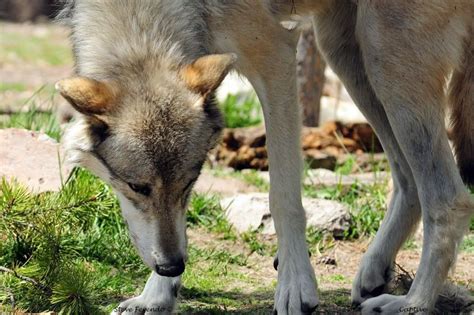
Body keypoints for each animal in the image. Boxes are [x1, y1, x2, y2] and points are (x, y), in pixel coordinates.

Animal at [57, 1, 472, 314]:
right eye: (137, 187)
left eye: (190, 182)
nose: (171, 265)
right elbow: (173, 230)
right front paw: (156, 296)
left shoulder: (275, 54)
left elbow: (283, 197)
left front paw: (295, 288)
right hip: (346, 51)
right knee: (408, 182)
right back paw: (375, 272)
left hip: (382, 51)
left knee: (449, 198)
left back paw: (412, 304)